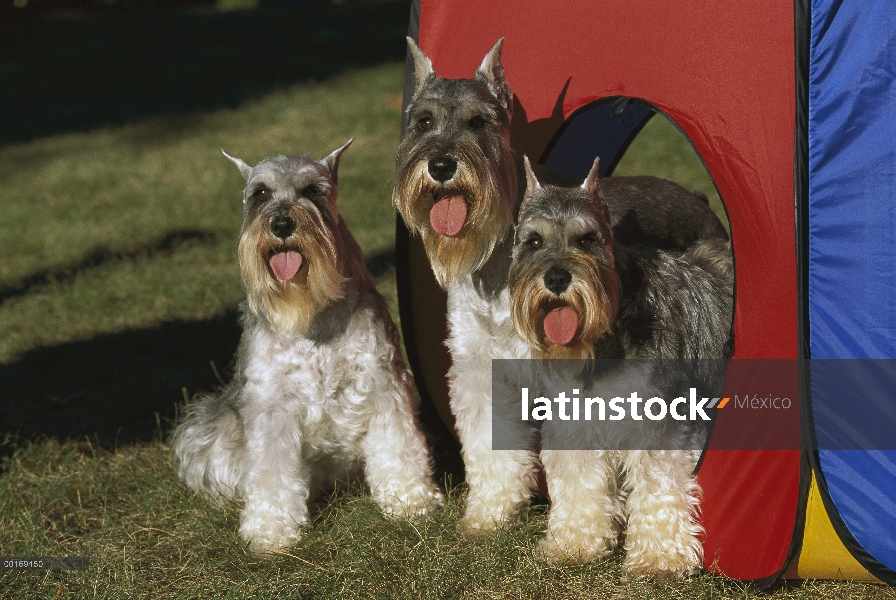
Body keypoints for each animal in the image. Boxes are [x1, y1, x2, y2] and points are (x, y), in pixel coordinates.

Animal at [173, 139, 442, 552]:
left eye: (313, 190)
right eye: (260, 193)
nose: (282, 224)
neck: (311, 312)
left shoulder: (383, 384)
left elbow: (398, 446)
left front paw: (409, 501)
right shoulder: (272, 404)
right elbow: (269, 470)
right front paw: (270, 528)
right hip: (210, 425)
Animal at [508, 156, 732, 576]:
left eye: (587, 239)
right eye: (533, 241)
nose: (557, 277)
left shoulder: (660, 426)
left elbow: (659, 488)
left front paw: (659, 558)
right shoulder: (576, 423)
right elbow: (580, 484)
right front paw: (574, 543)